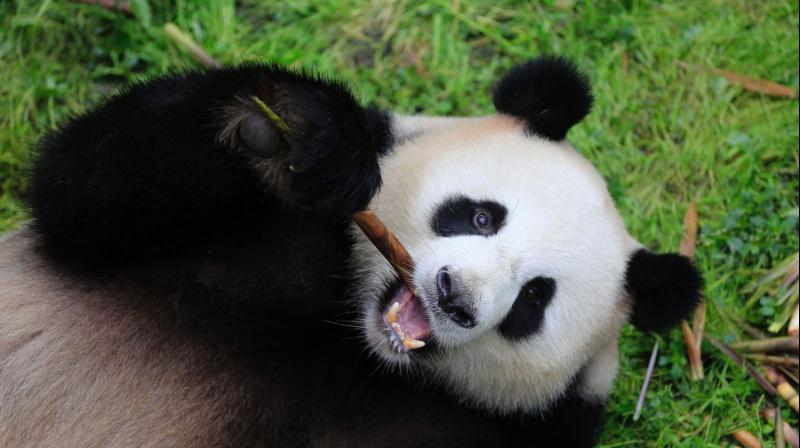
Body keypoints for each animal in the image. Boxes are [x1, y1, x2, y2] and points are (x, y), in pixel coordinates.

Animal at [0, 57, 700, 448]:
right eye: (481, 216)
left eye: (534, 299)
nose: (454, 298)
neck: (352, 342)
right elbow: (81, 189)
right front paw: (296, 134)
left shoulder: (509, 428)